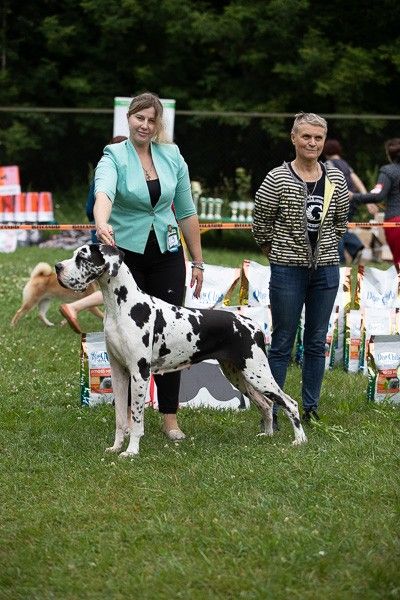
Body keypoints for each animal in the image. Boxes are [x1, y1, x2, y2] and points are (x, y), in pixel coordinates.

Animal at [55, 244, 307, 456]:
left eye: (82, 257)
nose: (58, 266)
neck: (123, 306)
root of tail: (253, 325)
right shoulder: (118, 373)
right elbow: (120, 419)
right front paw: (116, 447)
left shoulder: (139, 374)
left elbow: (135, 419)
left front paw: (132, 451)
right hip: (239, 375)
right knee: (266, 404)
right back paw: (268, 435)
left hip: (258, 373)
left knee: (289, 403)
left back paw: (300, 440)